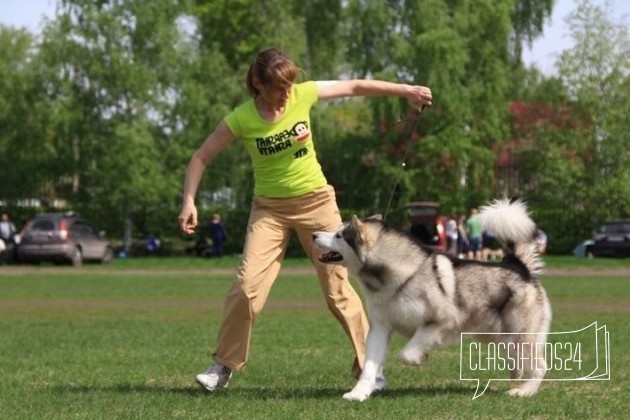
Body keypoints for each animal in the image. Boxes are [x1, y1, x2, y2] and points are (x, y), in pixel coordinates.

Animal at [314, 197, 552, 400]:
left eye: (339, 235)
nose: (314, 235)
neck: (400, 278)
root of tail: (518, 266)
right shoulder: (380, 328)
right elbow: (370, 365)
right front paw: (359, 393)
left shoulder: (440, 323)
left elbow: (406, 353)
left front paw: (419, 358)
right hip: (495, 336)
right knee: (516, 357)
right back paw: (516, 375)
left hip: (520, 336)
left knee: (540, 365)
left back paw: (525, 391)